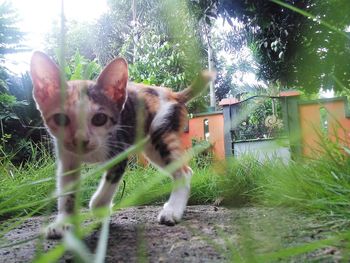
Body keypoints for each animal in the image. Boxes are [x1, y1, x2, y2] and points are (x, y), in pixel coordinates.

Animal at [31, 51, 213, 239]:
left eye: (99, 119)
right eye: (60, 119)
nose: (81, 140)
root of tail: (172, 94)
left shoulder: (119, 150)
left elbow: (109, 182)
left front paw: (99, 206)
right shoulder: (67, 158)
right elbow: (68, 191)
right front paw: (63, 222)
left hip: (160, 133)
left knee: (183, 172)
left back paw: (172, 211)